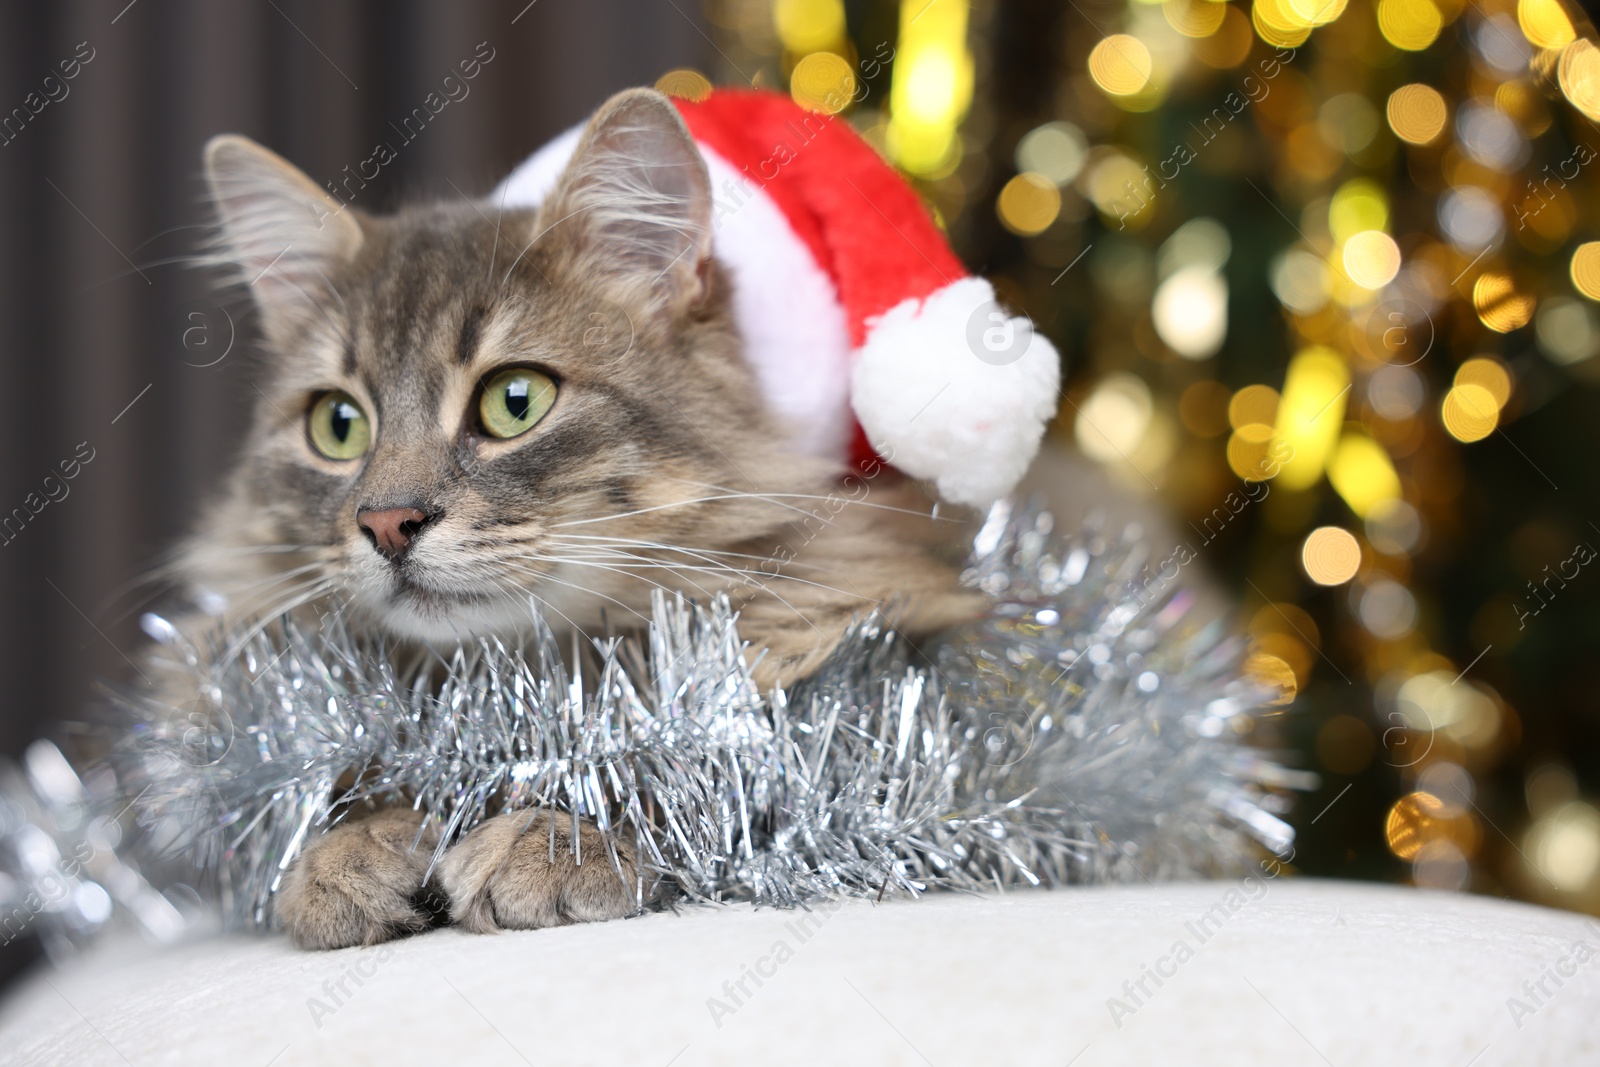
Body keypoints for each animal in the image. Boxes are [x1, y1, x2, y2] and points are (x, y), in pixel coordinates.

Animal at [175, 87, 972, 947]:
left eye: (514, 401)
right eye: (338, 424)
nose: (387, 522)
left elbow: (699, 766)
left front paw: (554, 834)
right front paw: (350, 847)